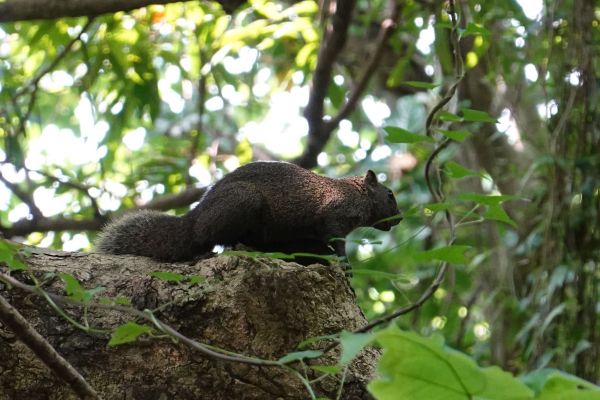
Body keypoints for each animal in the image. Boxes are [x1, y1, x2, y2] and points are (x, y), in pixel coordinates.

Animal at [95, 161, 404, 260]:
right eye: (390, 195)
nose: (400, 219)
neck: (356, 193)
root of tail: (193, 220)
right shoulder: (335, 213)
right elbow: (335, 238)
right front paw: (343, 261)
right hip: (242, 203)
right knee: (212, 239)